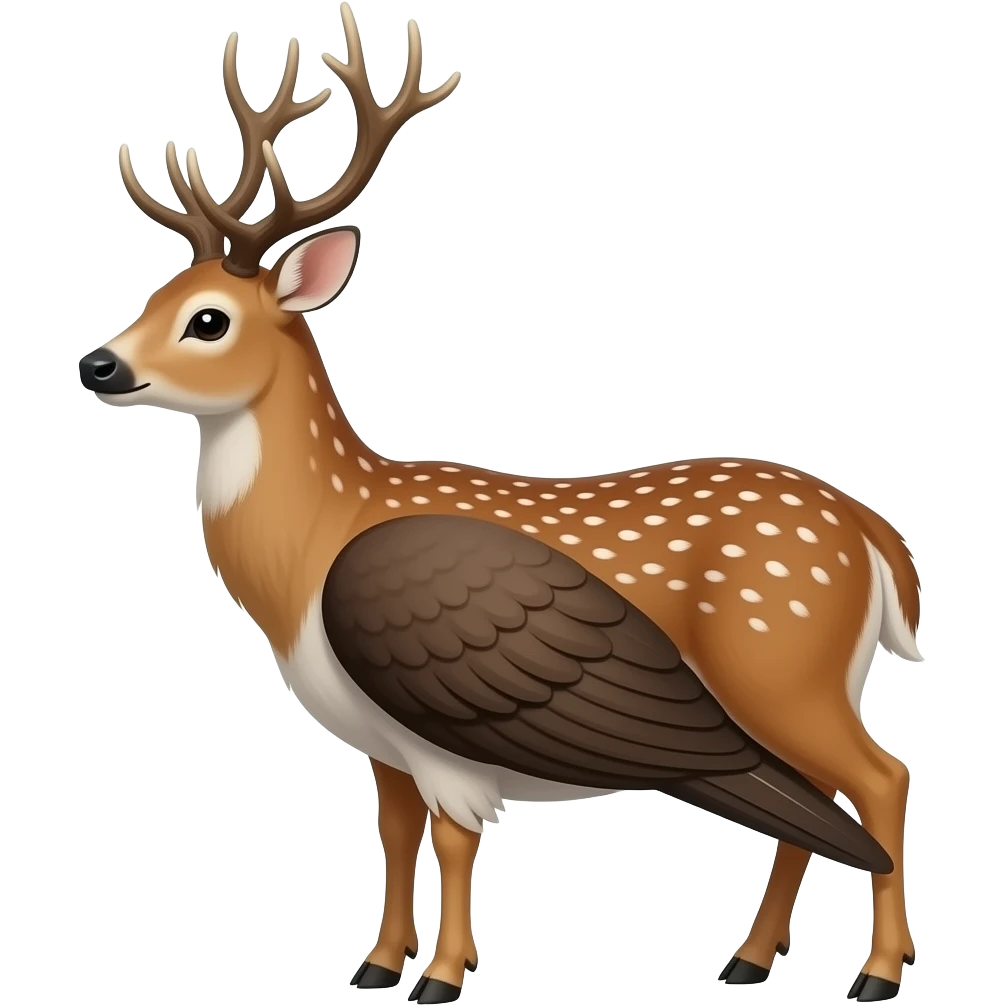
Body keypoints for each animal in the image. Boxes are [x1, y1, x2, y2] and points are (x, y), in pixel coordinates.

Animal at [87, 8, 921, 1003]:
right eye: (156, 293)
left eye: (208, 319)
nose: (98, 365)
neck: (318, 541)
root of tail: (874, 535)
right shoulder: (380, 739)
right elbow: (395, 835)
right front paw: (377, 965)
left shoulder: (444, 733)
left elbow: (454, 840)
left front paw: (442, 976)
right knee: (822, 799)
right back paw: (750, 959)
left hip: (778, 661)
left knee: (881, 778)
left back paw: (878, 972)